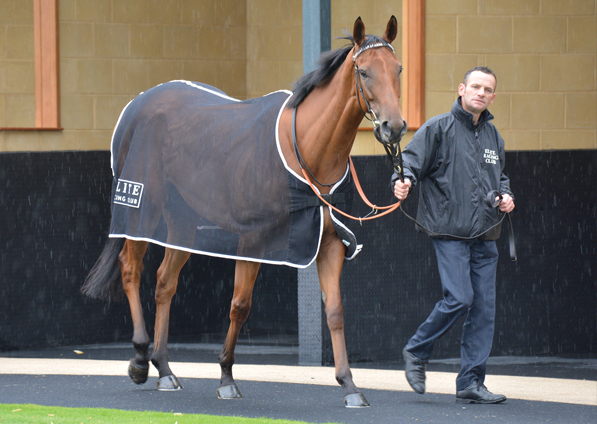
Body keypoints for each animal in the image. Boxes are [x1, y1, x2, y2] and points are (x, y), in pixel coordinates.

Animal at [82, 16, 406, 408]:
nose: (394, 127)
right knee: (131, 269)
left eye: (398, 69)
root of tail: (138, 103)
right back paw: (141, 360)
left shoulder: (328, 244)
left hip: (184, 220)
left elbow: (335, 311)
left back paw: (165, 368)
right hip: (143, 207)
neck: (304, 150)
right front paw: (225, 376)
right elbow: (240, 304)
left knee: (164, 282)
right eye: (364, 71)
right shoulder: (252, 240)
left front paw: (350, 385)